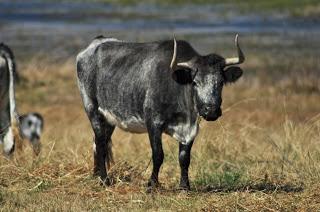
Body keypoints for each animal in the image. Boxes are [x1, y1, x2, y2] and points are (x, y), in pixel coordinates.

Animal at [75, 34, 245, 189]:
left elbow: (184, 157)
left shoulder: (191, 128)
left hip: (109, 118)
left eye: (221, 82)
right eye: (195, 82)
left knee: (99, 142)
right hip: (92, 109)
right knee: (100, 144)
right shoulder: (153, 123)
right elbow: (158, 155)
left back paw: (96, 174)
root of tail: (95, 43)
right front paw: (152, 184)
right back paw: (104, 180)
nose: (211, 111)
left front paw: (184, 186)